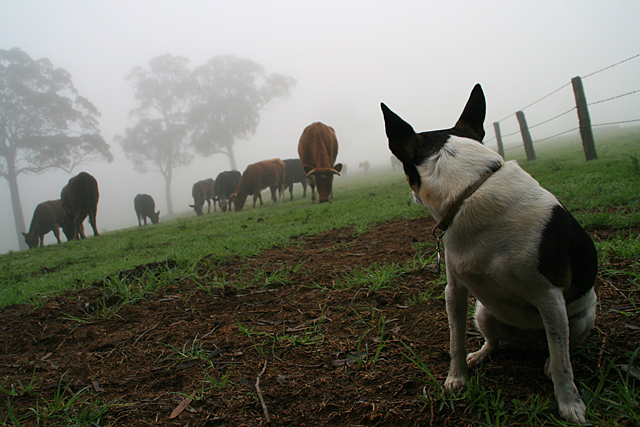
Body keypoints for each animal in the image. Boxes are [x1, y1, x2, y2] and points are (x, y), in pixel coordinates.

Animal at [382, 84, 596, 424]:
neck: (471, 190)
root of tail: (526, 342)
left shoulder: (550, 297)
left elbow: (564, 363)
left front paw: (570, 405)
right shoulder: (455, 292)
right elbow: (455, 341)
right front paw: (457, 378)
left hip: (580, 317)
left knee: (560, 349)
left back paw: (548, 364)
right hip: (483, 312)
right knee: (496, 341)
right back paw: (482, 354)